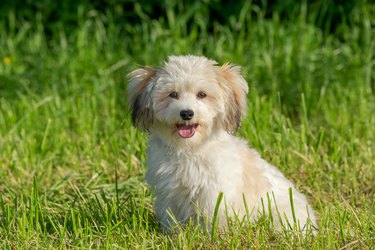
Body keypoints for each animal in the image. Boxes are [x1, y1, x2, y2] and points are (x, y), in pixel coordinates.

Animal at [127, 54, 318, 232]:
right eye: (173, 94)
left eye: (202, 94)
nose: (187, 113)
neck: (190, 148)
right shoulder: (168, 192)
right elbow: (171, 218)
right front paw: (174, 235)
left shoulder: (214, 192)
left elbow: (212, 216)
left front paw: (210, 236)